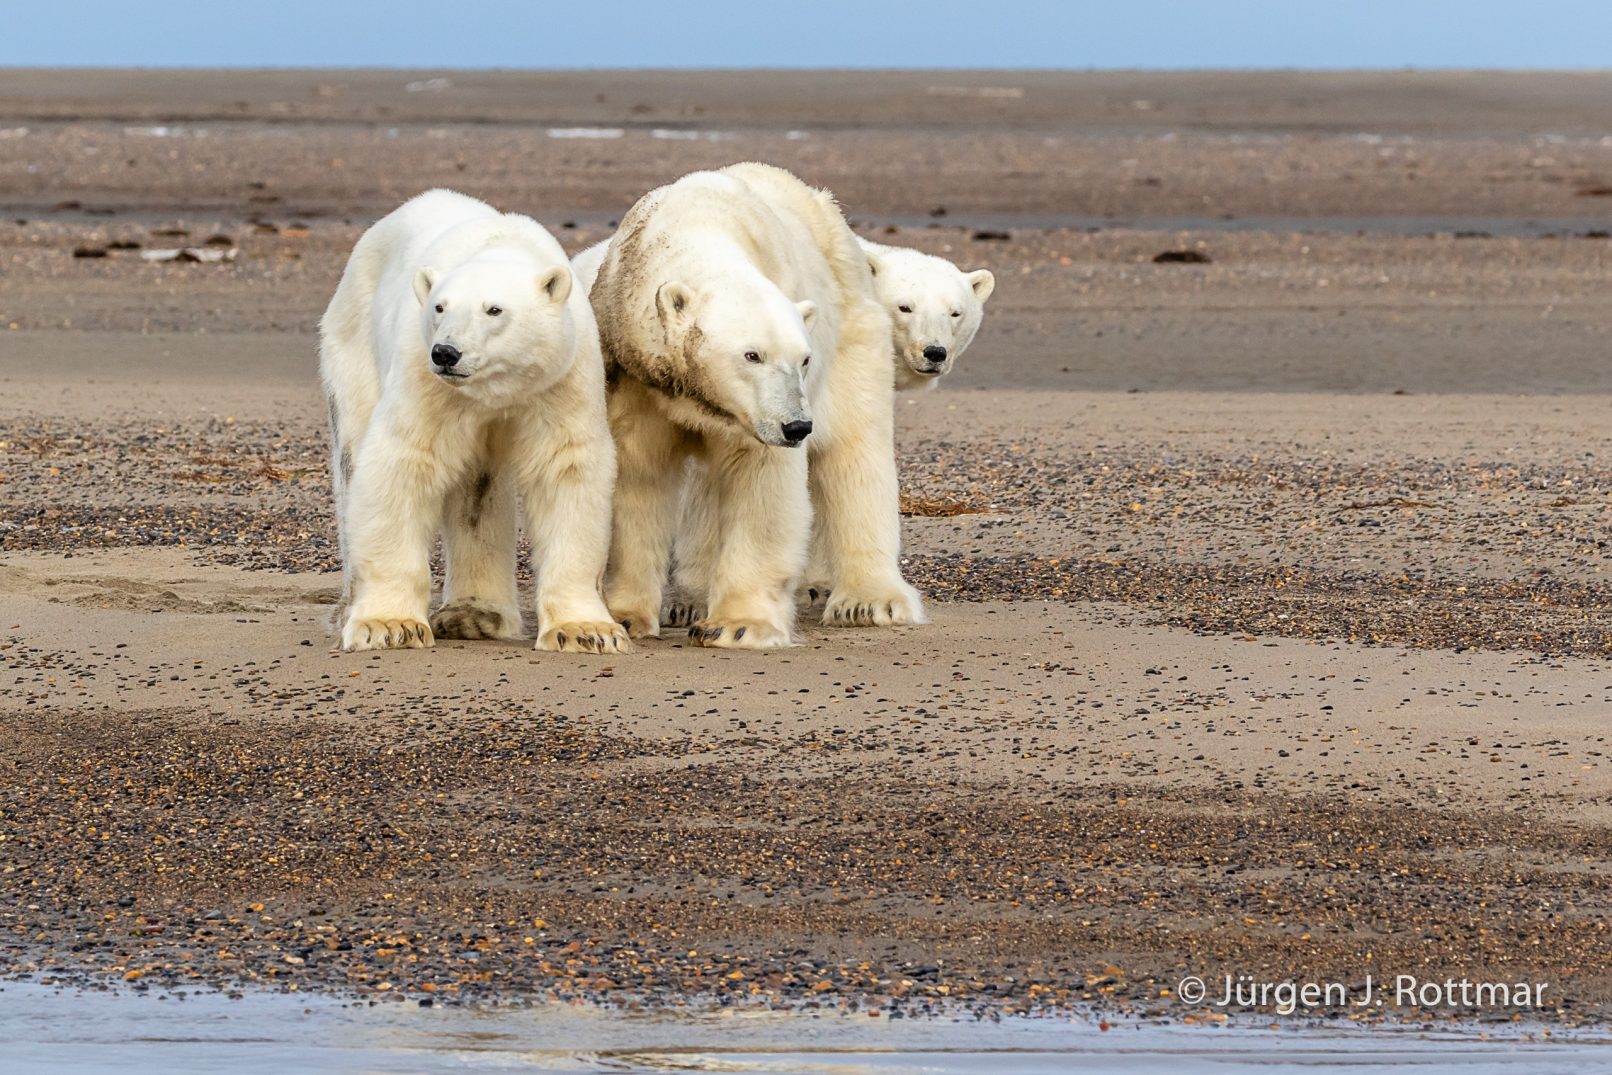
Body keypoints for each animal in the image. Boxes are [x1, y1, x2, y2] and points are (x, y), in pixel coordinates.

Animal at [320, 188, 627, 654]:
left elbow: (565, 470)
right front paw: (389, 624)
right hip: (353, 343)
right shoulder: (423, 378)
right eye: (439, 307)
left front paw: (586, 630)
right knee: (353, 456)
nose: (446, 353)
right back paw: (351, 608)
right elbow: (403, 462)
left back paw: (476, 615)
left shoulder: (562, 380)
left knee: (478, 487)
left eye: (494, 310)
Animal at [590, 162, 924, 648]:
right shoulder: (636, 375)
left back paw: (869, 601)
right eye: (752, 355)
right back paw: (690, 598)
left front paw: (737, 624)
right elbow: (639, 472)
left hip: (853, 334)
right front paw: (627, 615)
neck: (698, 228)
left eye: (803, 358)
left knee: (855, 448)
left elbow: (761, 485)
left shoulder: (757, 416)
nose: (796, 427)